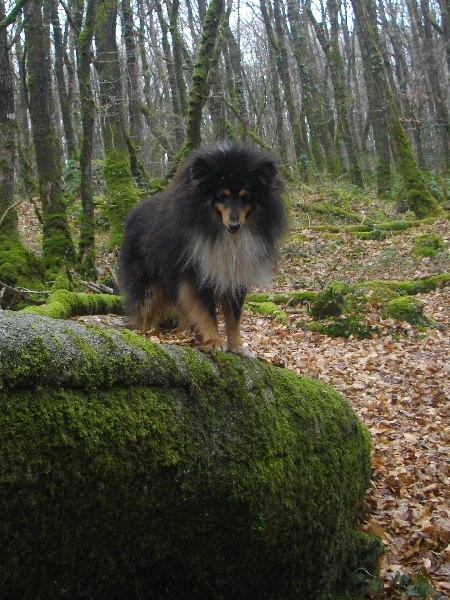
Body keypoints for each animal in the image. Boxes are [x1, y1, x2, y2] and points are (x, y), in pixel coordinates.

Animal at [119, 142, 287, 356]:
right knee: (145, 313)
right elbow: (206, 313)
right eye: (222, 196)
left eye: (245, 197)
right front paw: (214, 342)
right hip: (148, 286)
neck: (220, 232)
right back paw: (145, 335)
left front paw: (237, 347)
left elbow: (234, 317)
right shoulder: (197, 275)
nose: (234, 226)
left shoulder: (235, 276)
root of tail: (132, 214)